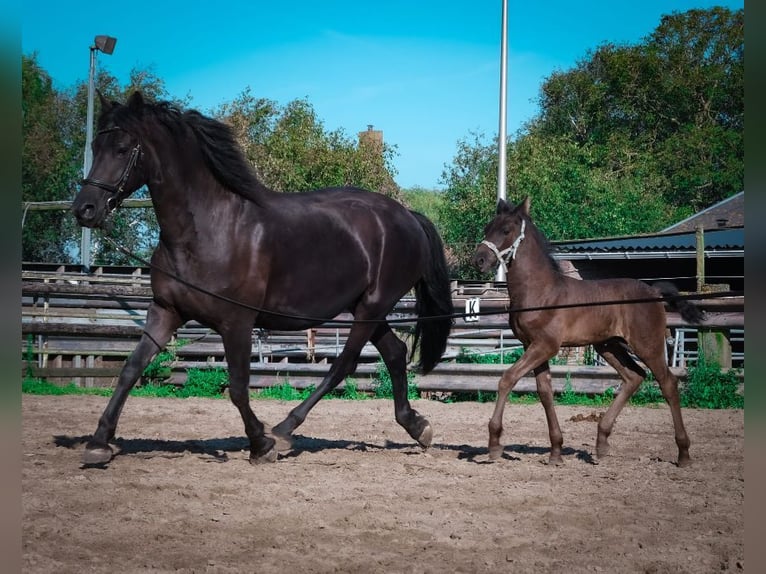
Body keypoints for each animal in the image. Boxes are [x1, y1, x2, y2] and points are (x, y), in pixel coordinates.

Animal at [72, 91, 452, 468]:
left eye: (123, 148)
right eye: (95, 145)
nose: (85, 209)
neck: (207, 229)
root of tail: (408, 216)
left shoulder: (236, 321)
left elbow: (239, 387)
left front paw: (261, 443)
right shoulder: (165, 312)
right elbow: (130, 369)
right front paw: (99, 443)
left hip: (372, 307)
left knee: (343, 365)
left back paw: (284, 430)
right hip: (367, 310)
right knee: (395, 352)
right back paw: (417, 426)